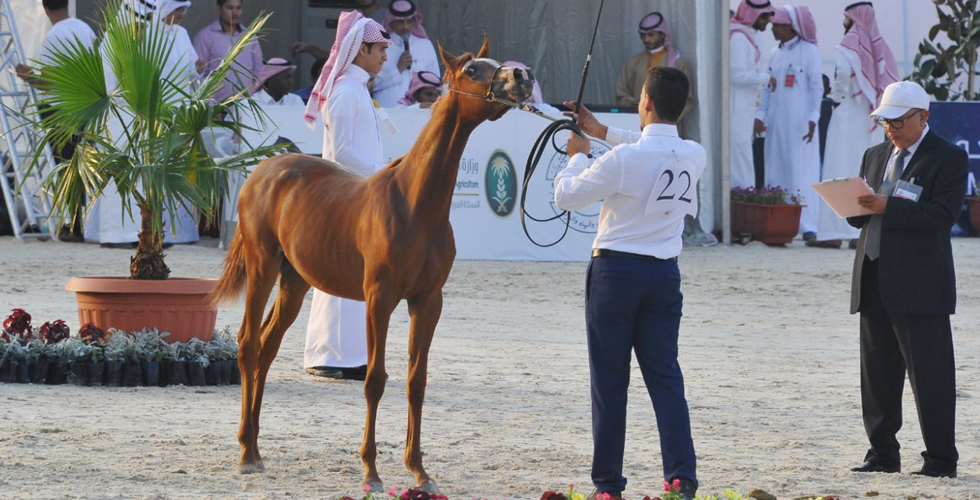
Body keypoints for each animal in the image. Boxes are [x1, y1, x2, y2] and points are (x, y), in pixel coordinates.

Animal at [209, 39, 536, 492]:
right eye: (472, 70)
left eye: (496, 63)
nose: (522, 76)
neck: (415, 203)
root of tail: (263, 170)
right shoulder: (379, 299)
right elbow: (375, 380)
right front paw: (371, 470)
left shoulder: (427, 302)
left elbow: (416, 380)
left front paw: (419, 470)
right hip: (263, 267)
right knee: (247, 344)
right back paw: (244, 452)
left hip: (295, 282)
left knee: (268, 347)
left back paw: (256, 448)